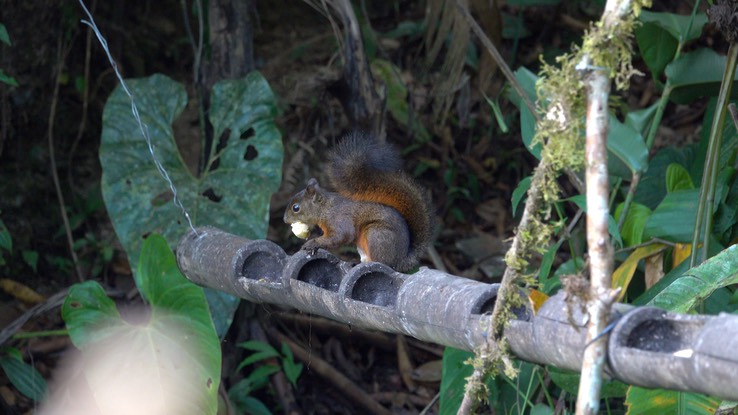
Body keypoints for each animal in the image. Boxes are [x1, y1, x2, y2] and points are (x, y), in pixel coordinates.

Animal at [282, 133, 432, 272]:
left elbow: (341, 236)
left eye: (296, 208)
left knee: (383, 262)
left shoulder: (339, 220)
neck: (325, 208)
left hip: (376, 235)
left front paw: (313, 243)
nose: (284, 220)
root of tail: (401, 261)